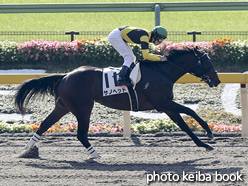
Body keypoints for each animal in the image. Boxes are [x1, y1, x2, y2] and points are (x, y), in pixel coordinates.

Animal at [15, 46, 221, 158]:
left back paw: (27, 150)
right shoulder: (162, 103)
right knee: (81, 134)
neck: (162, 71)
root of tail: (65, 76)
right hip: (83, 108)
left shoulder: (166, 105)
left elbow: (184, 124)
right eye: (207, 63)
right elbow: (190, 112)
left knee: (44, 124)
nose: (217, 80)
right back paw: (95, 154)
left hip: (63, 106)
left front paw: (204, 144)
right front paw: (209, 134)